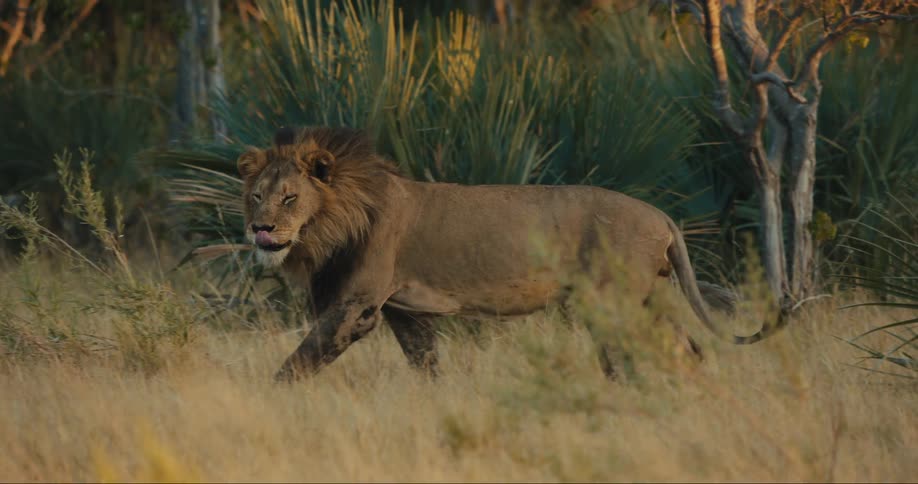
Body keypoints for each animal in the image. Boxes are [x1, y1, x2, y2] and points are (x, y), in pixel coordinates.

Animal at [237, 126, 785, 382]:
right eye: (255, 195)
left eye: (290, 198)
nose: (260, 229)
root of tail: (661, 215)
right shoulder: (402, 310)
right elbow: (425, 363)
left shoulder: (357, 306)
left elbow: (298, 361)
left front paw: (271, 399)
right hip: (645, 297)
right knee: (685, 350)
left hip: (610, 300)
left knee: (629, 356)